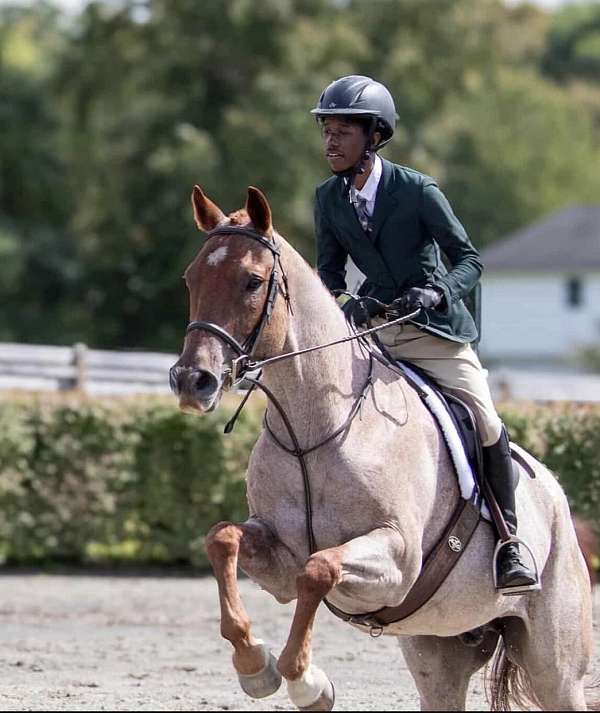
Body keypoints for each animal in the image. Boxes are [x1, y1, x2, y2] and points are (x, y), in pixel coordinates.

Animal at [170, 185, 596, 711]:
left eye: (252, 281)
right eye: (191, 278)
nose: (193, 381)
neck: (314, 431)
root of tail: (557, 496)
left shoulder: (398, 558)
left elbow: (318, 569)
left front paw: (306, 682)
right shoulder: (279, 557)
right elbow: (224, 539)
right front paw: (255, 666)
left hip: (555, 669)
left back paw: (515, 565)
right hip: (440, 655)